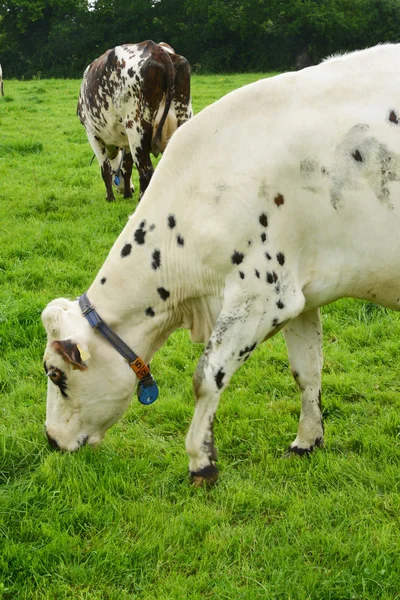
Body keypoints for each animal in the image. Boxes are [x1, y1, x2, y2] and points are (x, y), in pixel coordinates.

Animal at [77, 41, 193, 204]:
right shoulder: (126, 140)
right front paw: (127, 194)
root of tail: (157, 49)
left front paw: (110, 198)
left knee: (146, 171)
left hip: (136, 129)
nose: (131, 189)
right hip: (183, 117)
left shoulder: (92, 134)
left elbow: (105, 170)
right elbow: (126, 168)